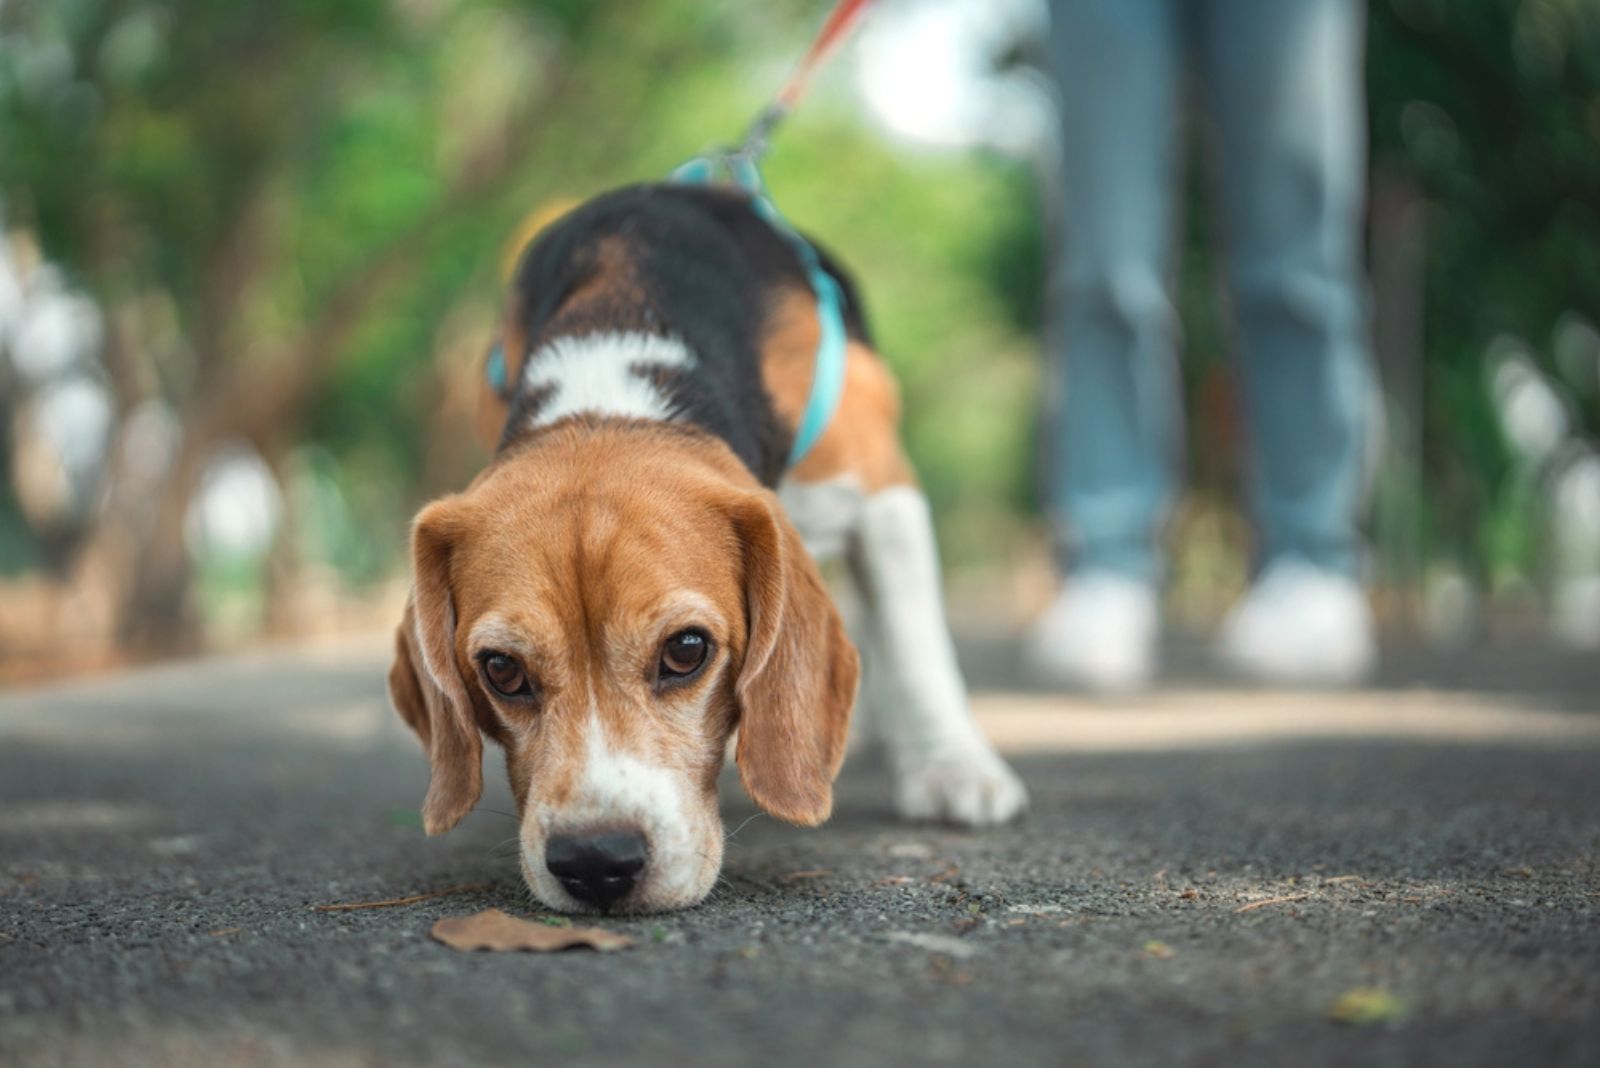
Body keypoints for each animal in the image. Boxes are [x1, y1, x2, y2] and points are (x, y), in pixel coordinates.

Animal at [387, 181, 1024, 908]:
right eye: (501, 670)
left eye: (686, 651)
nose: (596, 862)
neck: (613, 374)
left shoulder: (884, 493)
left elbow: (916, 640)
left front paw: (956, 768)